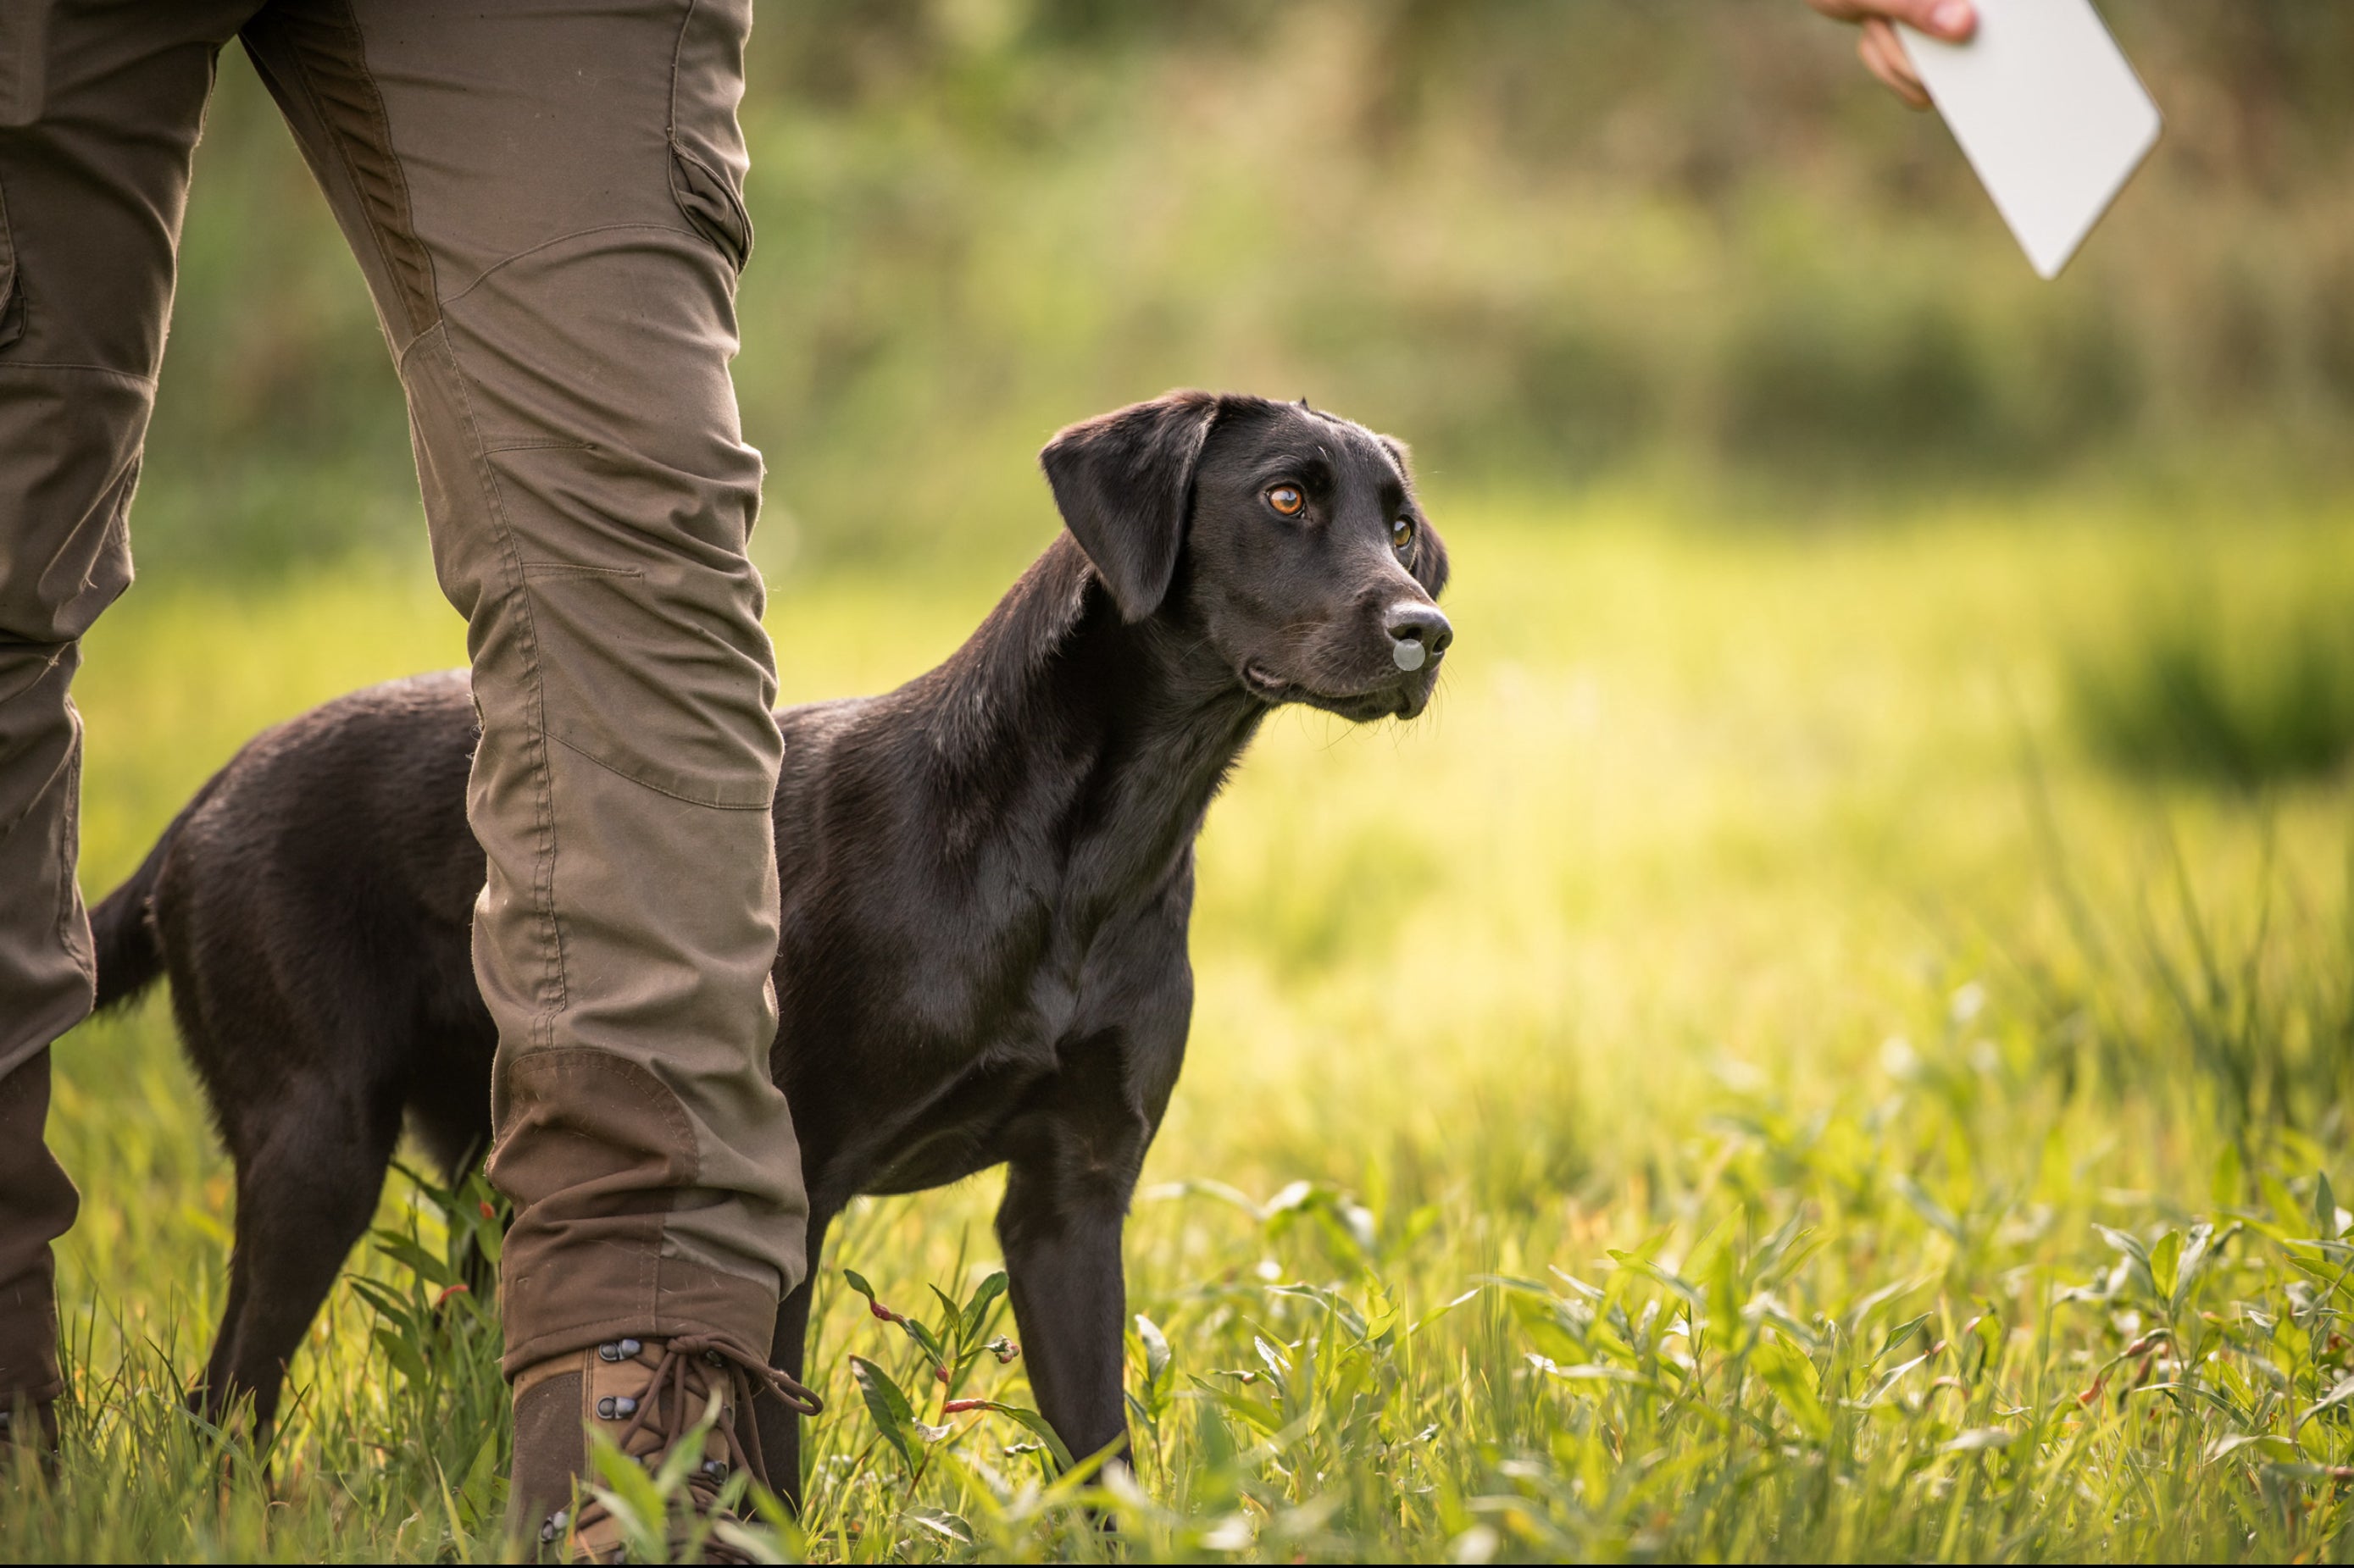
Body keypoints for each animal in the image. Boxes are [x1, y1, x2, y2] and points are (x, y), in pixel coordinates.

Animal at [86, 384, 1450, 1488]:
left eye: (1398, 530)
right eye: (1283, 497)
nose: (1425, 631)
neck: (1084, 855)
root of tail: (202, 804)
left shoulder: (1072, 1198)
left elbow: (1096, 1455)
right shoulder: (790, 1193)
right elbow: (768, 1460)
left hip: (497, 1162)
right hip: (316, 1145)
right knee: (225, 1395)